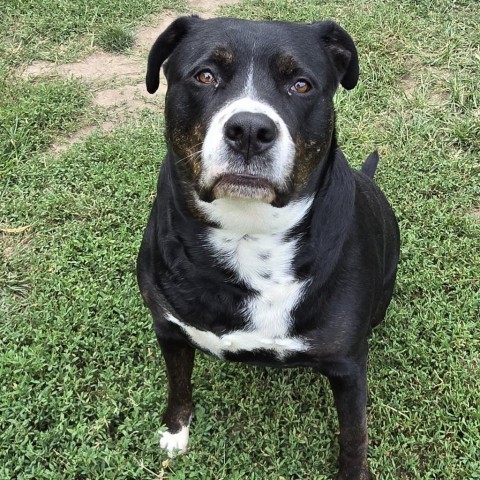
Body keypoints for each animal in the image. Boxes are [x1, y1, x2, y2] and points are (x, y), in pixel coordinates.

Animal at [137, 15, 400, 480]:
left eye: (301, 84)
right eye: (205, 75)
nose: (249, 131)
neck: (247, 233)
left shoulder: (349, 368)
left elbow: (354, 435)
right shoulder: (168, 329)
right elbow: (178, 383)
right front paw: (175, 430)